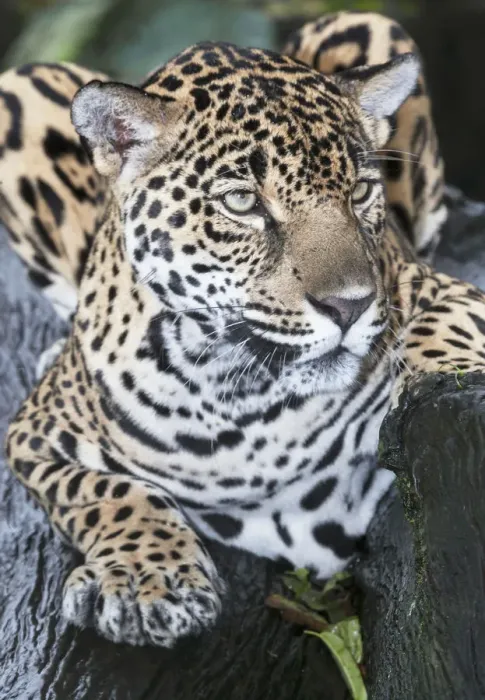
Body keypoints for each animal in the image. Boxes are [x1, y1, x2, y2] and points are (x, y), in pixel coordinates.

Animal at [2, 11, 485, 648]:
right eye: (242, 203)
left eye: (360, 191)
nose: (351, 307)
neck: (237, 387)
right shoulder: (34, 433)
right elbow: (106, 491)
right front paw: (146, 578)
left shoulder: (438, 289)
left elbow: (446, 327)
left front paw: (441, 375)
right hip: (21, 85)